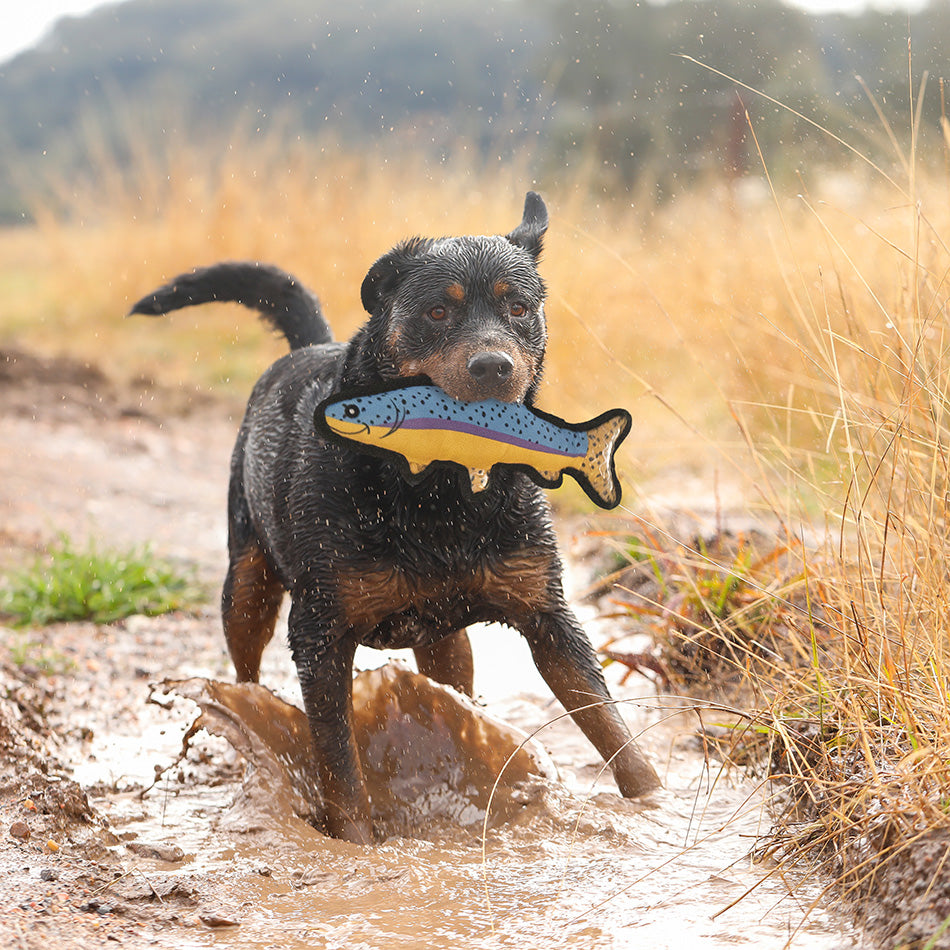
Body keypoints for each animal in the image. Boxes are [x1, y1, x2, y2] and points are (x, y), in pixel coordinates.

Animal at [130, 193, 660, 840]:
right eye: (436, 311)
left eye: (517, 306)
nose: (493, 365)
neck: (440, 493)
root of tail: (305, 348)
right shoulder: (321, 632)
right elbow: (339, 762)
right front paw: (355, 845)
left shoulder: (549, 618)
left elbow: (612, 729)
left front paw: (657, 807)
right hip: (247, 578)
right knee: (246, 669)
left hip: (445, 640)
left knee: (450, 679)